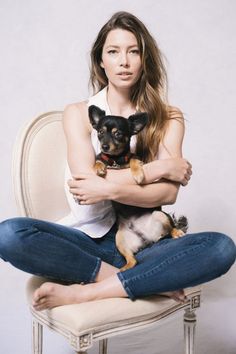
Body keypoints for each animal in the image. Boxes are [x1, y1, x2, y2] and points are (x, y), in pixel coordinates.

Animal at [88, 105, 188, 272]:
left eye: (118, 134)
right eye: (100, 132)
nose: (105, 146)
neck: (116, 159)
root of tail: (147, 239)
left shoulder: (133, 158)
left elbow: (134, 159)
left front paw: (138, 174)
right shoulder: (103, 157)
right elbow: (98, 159)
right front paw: (99, 167)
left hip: (160, 216)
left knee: (169, 229)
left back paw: (176, 232)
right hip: (120, 239)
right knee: (133, 261)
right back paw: (123, 269)